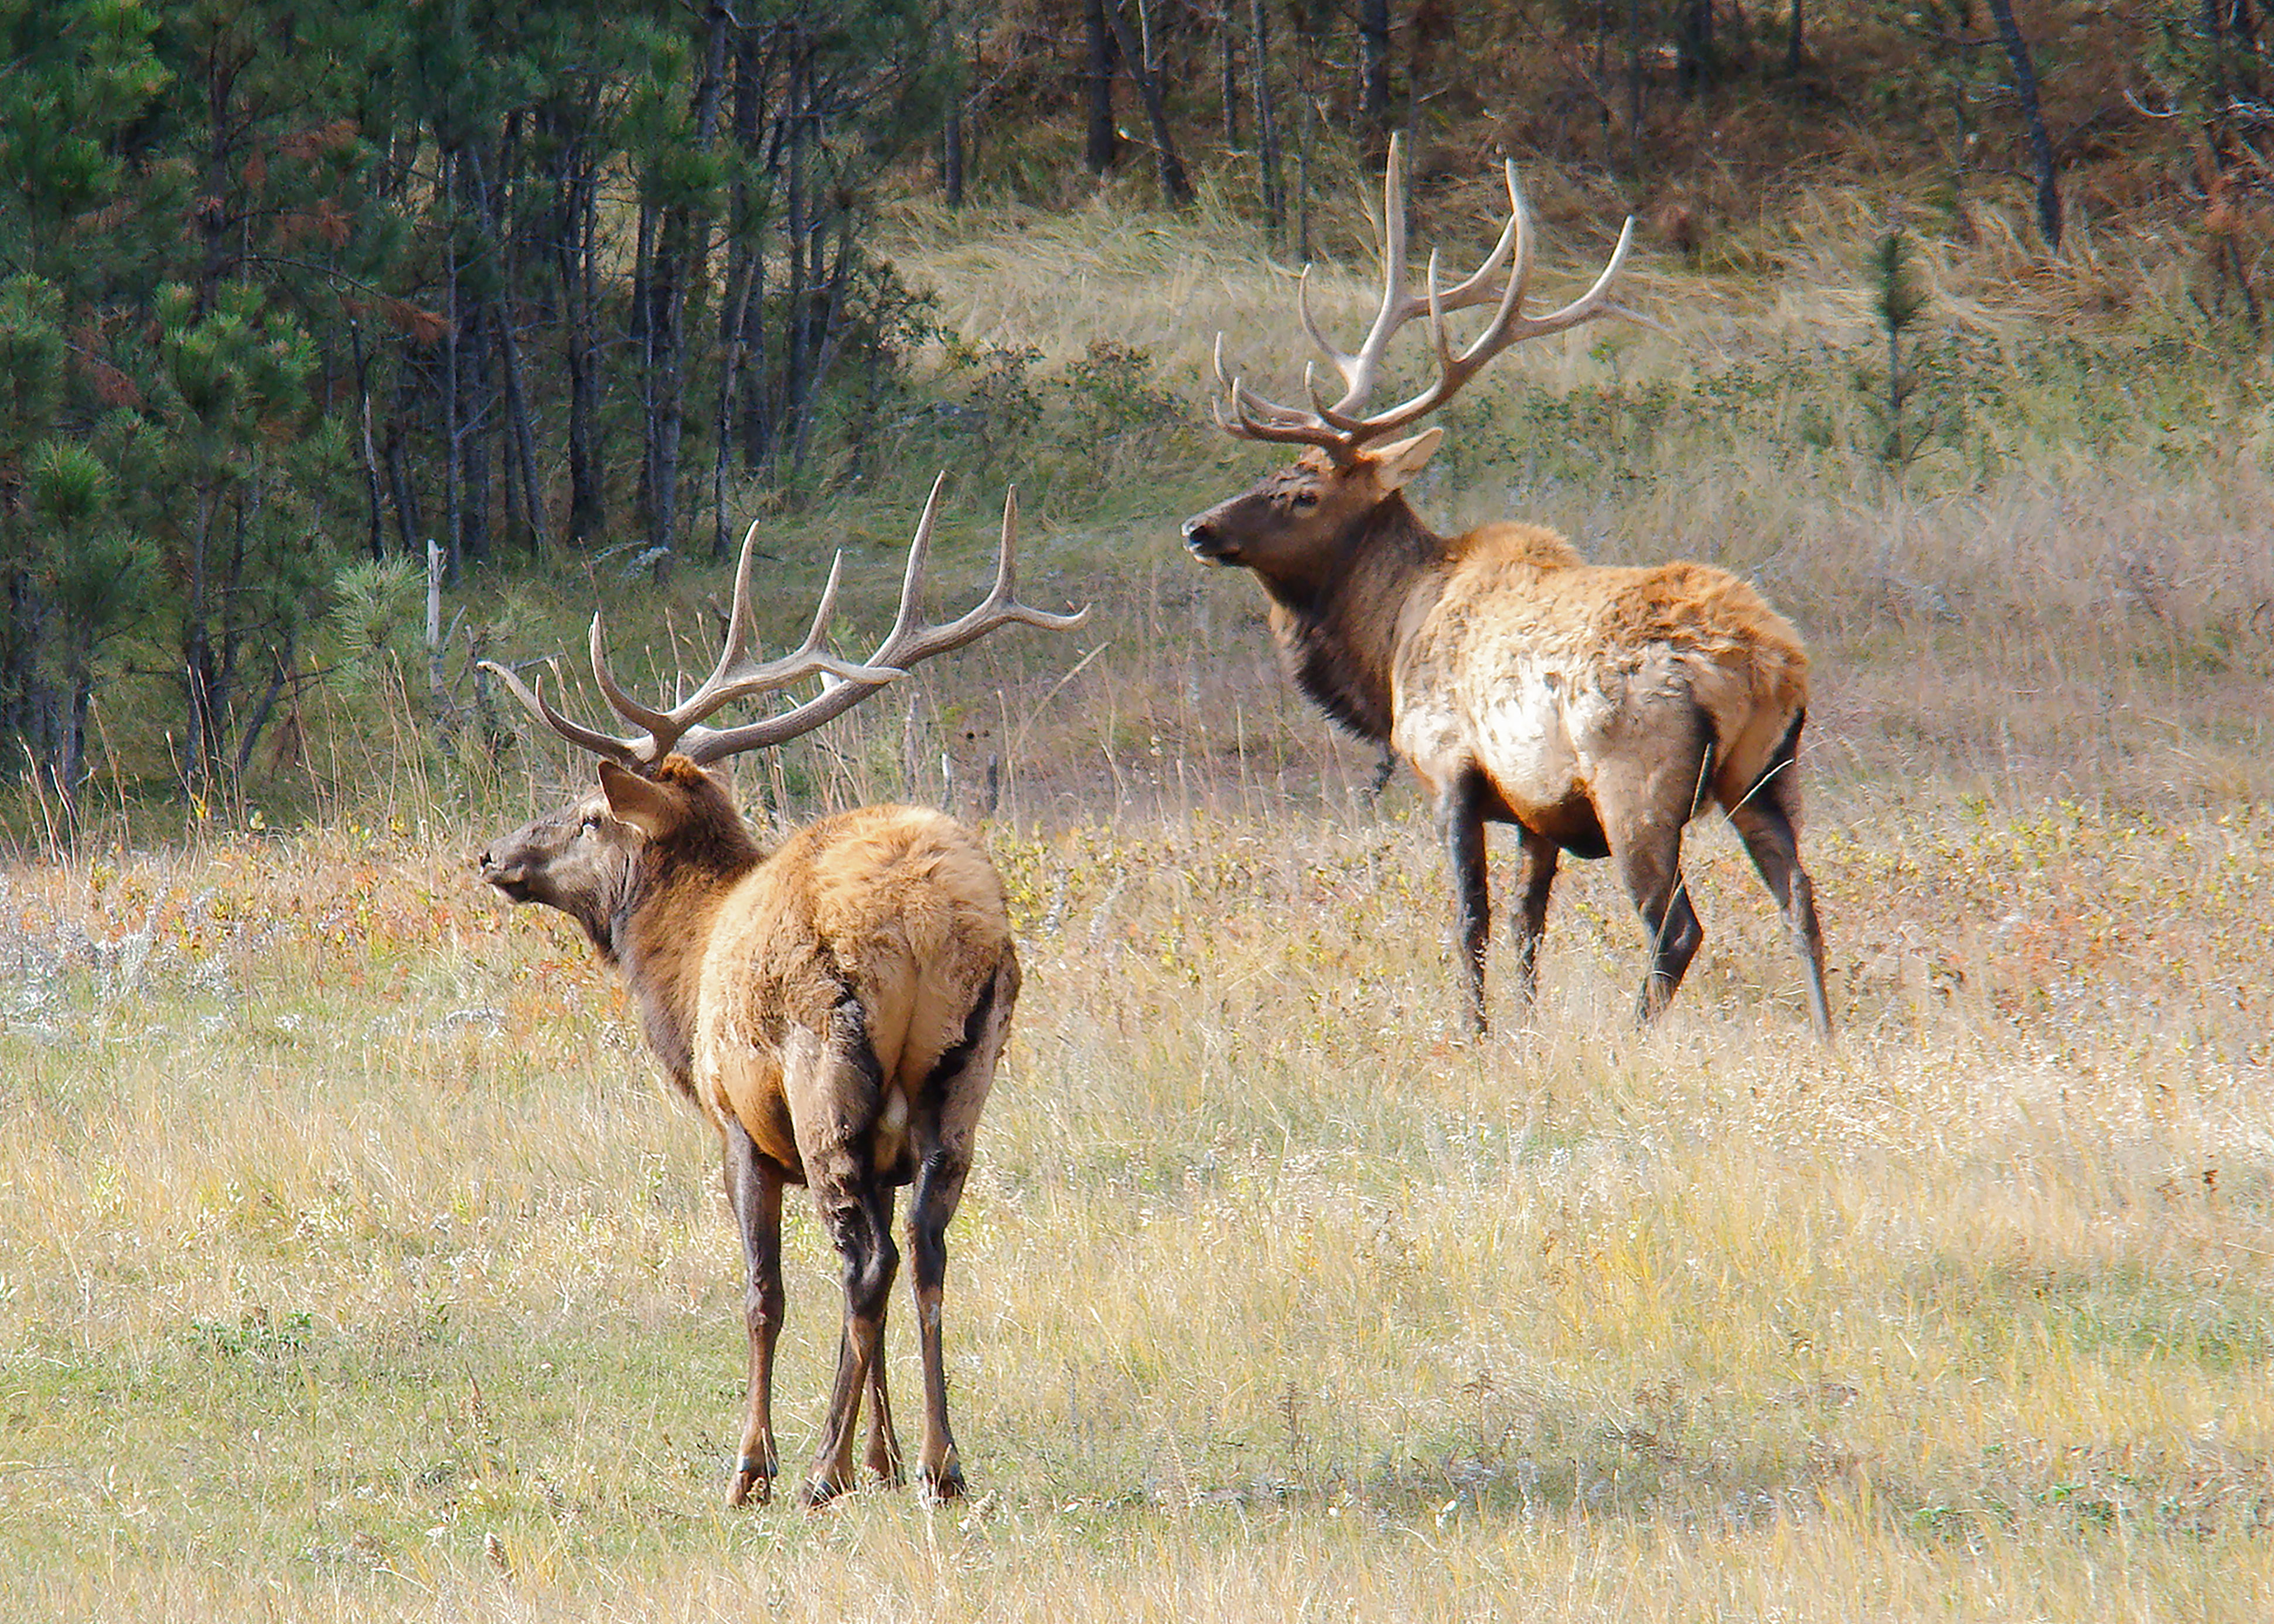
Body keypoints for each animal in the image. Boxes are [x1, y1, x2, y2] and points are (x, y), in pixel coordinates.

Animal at [477, 477, 1086, 1508]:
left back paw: (814, 1470)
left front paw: (754, 1464)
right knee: (924, 1250)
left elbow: (764, 1294)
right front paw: (885, 1457)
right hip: (964, 1077)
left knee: (866, 1261)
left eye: (591, 815)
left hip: (821, 1075)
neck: (682, 977)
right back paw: (939, 1464)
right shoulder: (884, 1145)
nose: (493, 855)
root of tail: (927, 920)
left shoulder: (737, 1125)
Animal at [1182, 137, 1830, 1039]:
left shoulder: (1453, 768)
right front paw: (1522, 1030)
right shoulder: (1537, 811)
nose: (1198, 529)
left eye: (1302, 491)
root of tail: (1766, 665)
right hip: (1765, 773)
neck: (1386, 644)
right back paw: (1828, 1036)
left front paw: (1476, 1034)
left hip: (1636, 777)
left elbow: (1471, 921)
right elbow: (1529, 928)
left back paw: (1633, 1038)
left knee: (1676, 927)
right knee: (1800, 898)